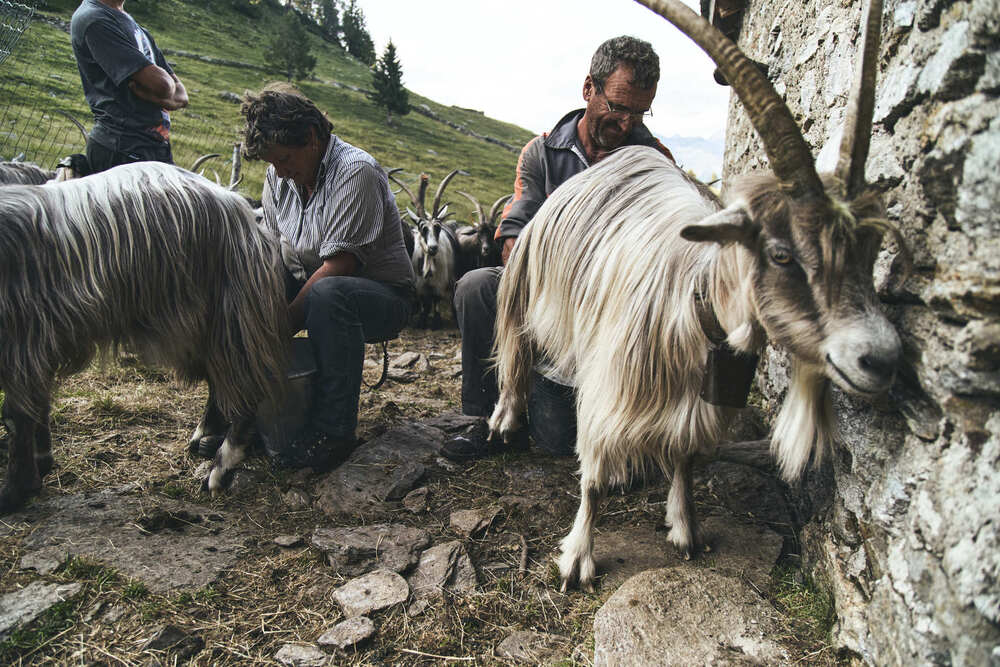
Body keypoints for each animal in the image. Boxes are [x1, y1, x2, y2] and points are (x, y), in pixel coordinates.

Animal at [0, 162, 288, 512]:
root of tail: (239, 210)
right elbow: (34, 406)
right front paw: (39, 465)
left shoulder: (21, 340)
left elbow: (17, 415)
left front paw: (15, 491)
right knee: (221, 383)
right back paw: (202, 438)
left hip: (222, 315)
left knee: (247, 386)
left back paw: (220, 470)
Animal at [489, 0, 903, 592]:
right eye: (782, 254)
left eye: (869, 252)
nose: (881, 359)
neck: (697, 300)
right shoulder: (611, 384)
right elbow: (592, 476)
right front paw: (578, 558)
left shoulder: (699, 401)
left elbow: (685, 457)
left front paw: (686, 529)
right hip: (525, 273)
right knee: (515, 346)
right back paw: (505, 415)